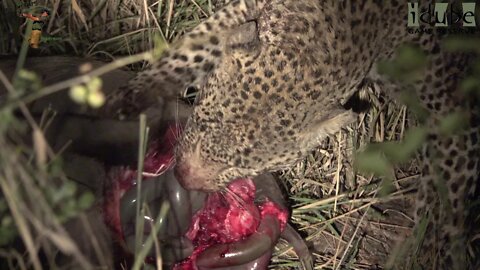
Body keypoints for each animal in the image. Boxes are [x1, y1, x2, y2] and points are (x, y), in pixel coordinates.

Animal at [104, 1, 480, 268]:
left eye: (242, 166)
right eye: (202, 122)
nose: (182, 178)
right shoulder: (242, 11)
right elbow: (194, 48)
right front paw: (131, 97)